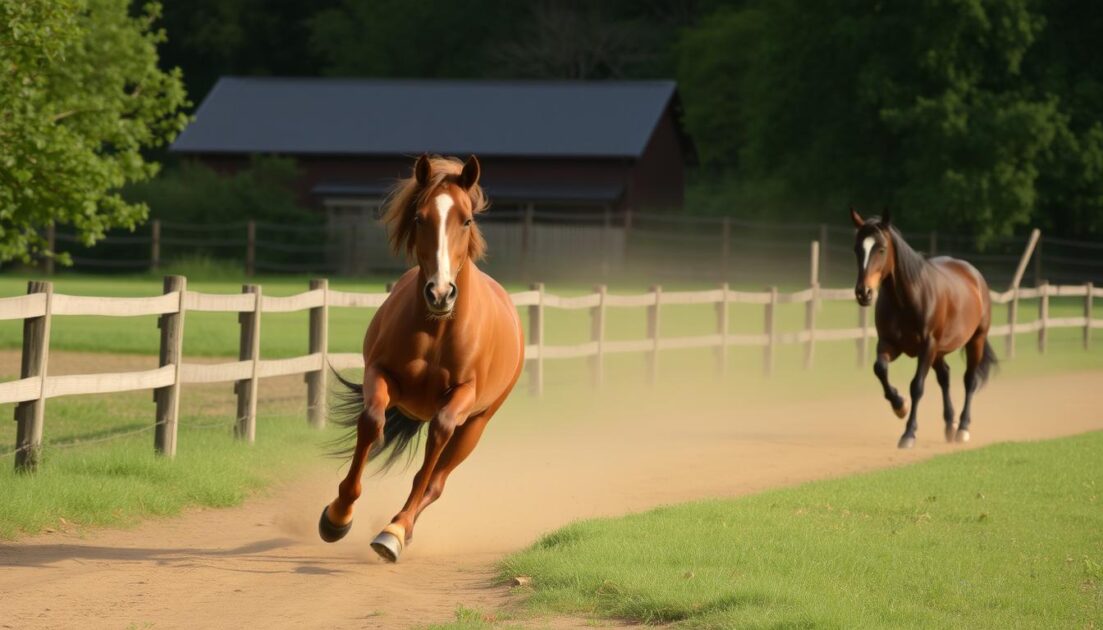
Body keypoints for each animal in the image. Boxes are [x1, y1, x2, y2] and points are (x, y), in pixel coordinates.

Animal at [317, 154, 525, 562]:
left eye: (467, 219)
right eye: (419, 217)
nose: (441, 293)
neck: (438, 331)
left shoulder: (460, 399)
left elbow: (437, 440)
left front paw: (395, 531)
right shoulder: (380, 375)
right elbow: (371, 423)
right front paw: (338, 515)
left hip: (476, 425)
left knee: (436, 481)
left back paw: (399, 528)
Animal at [850, 208, 997, 449]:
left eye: (881, 249)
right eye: (857, 249)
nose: (864, 293)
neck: (907, 299)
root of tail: (974, 275)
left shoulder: (927, 346)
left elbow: (917, 386)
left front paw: (908, 433)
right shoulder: (889, 344)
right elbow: (880, 369)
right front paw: (900, 405)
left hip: (975, 341)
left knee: (969, 380)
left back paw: (962, 428)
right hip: (939, 351)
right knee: (945, 377)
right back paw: (949, 425)